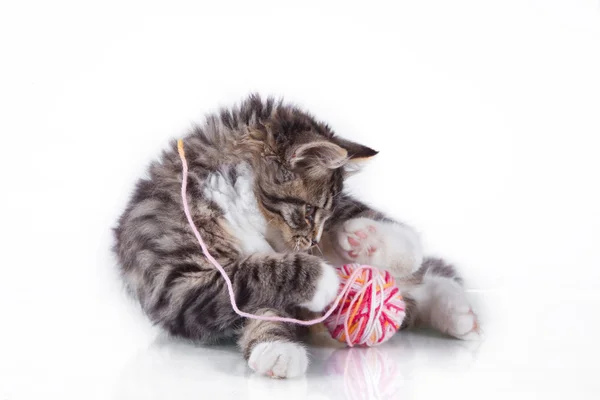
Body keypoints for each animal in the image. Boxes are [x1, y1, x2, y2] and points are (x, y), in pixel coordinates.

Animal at [113, 94, 482, 378]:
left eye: (320, 214)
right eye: (307, 212)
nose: (313, 244)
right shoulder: (178, 284)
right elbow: (256, 280)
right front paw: (282, 344)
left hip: (358, 221)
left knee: (415, 262)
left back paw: (370, 242)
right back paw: (457, 314)